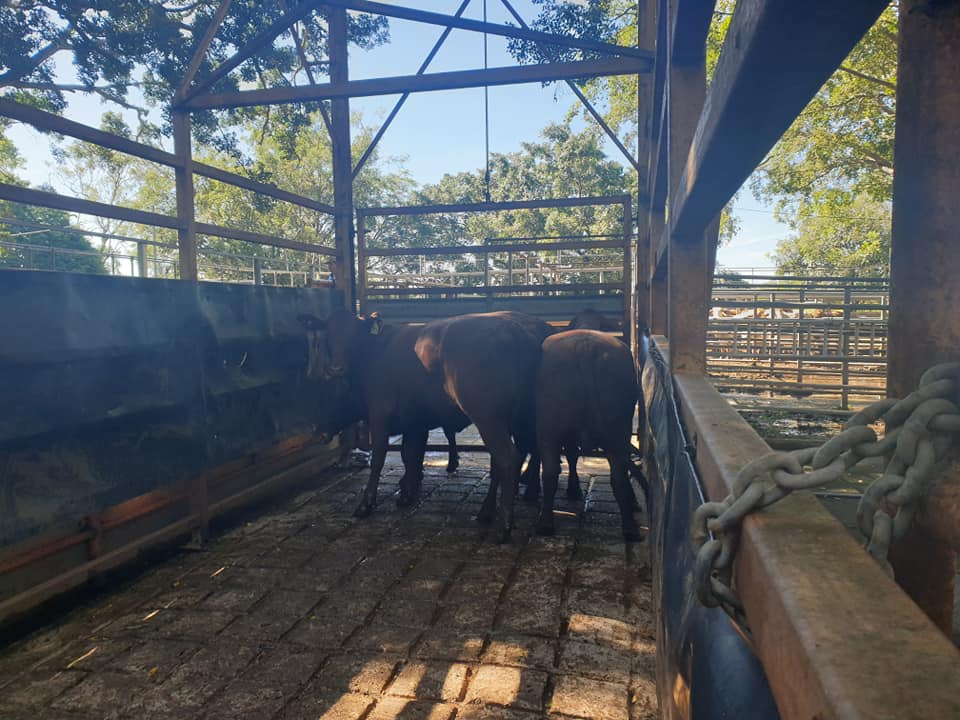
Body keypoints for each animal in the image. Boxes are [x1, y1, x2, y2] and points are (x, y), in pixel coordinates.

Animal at [298, 310, 469, 517]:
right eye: (328, 334)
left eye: (354, 335)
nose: (336, 368)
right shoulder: (414, 424)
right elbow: (410, 454)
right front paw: (408, 489)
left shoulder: (381, 417)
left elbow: (381, 457)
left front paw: (367, 503)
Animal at [415, 312, 544, 542]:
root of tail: (515, 331)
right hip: (523, 418)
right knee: (525, 453)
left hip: (489, 420)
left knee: (508, 458)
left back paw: (503, 525)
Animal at [534, 329, 642, 541]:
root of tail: (585, 346)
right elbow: (572, 454)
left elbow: (572, 455)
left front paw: (574, 488)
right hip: (617, 430)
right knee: (618, 476)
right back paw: (630, 526)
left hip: (550, 428)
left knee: (551, 472)